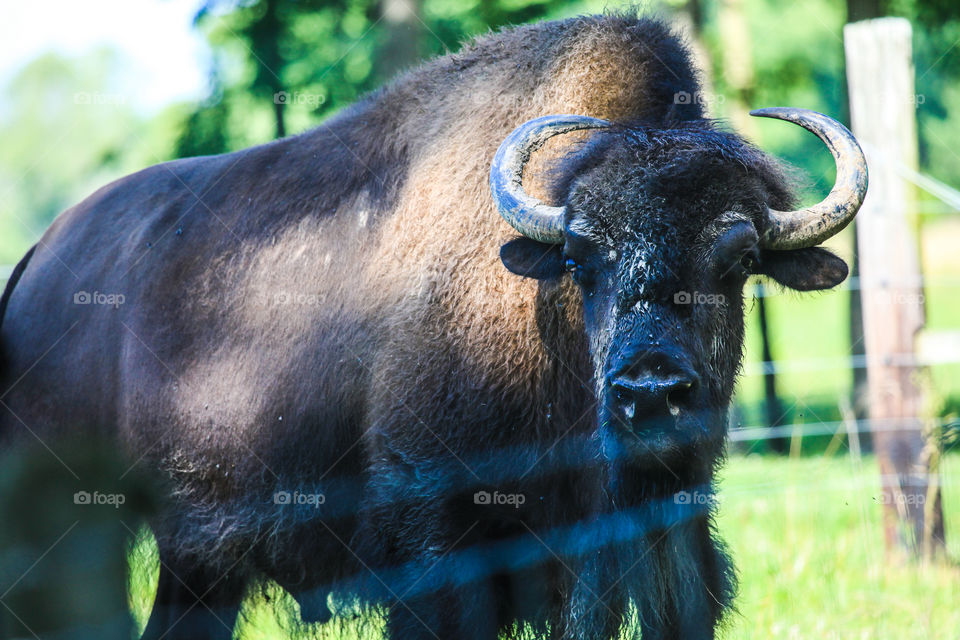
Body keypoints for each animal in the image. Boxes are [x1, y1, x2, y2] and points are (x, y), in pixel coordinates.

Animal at [0, 13, 865, 640]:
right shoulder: (439, 551)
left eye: (740, 258)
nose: (650, 391)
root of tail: (35, 264)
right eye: (580, 256)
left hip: (198, 562)